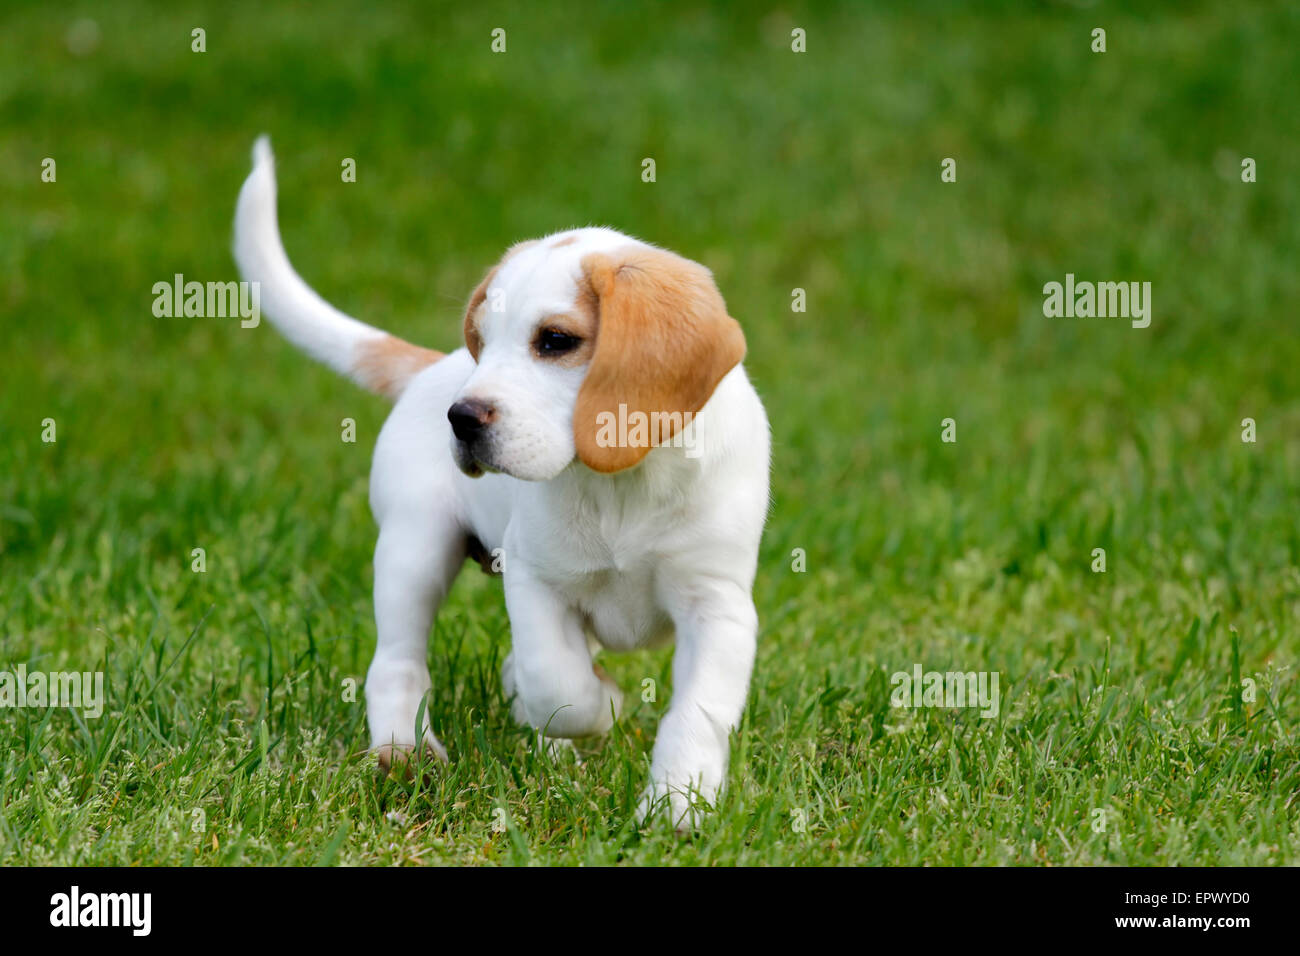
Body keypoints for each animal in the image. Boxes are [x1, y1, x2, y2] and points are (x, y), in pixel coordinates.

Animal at [231, 138, 769, 827]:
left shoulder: (718, 606)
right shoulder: (536, 580)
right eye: (482, 343)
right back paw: (405, 754)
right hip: (414, 550)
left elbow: (696, 713)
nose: (461, 418)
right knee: (397, 664)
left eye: (556, 341)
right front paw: (603, 708)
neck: (623, 484)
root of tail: (431, 370)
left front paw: (677, 806)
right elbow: (555, 679)